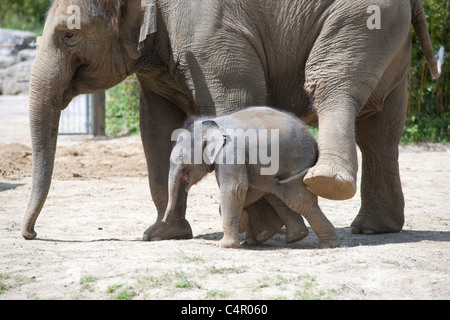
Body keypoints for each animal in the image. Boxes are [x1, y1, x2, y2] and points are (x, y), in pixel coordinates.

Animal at [163, 106, 340, 249]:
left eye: (181, 156)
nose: (164, 220)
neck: (211, 122)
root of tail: (314, 142)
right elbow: (250, 188)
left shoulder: (231, 151)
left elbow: (235, 188)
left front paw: (224, 245)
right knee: (278, 193)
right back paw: (295, 237)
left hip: (296, 161)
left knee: (296, 198)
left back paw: (326, 244)